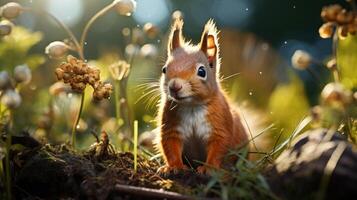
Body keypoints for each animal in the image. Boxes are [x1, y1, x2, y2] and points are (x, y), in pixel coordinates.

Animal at [156, 19, 248, 175]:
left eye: (201, 71)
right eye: (164, 69)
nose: (174, 86)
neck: (192, 106)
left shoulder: (220, 125)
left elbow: (218, 148)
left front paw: (209, 169)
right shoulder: (171, 126)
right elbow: (170, 147)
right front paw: (173, 167)